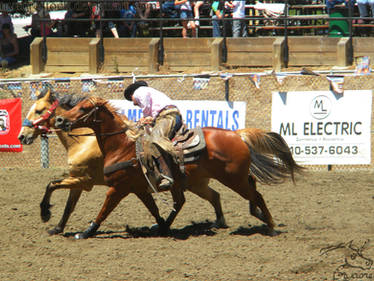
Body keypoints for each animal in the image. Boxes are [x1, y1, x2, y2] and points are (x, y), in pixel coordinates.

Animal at [54, 97, 300, 238]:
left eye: (84, 108)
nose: (59, 120)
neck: (122, 146)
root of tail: (237, 135)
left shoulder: (118, 188)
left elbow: (104, 210)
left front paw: (86, 232)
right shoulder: (138, 188)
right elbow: (154, 209)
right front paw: (161, 225)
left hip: (233, 179)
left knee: (256, 194)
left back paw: (270, 225)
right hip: (200, 182)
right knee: (213, 195)